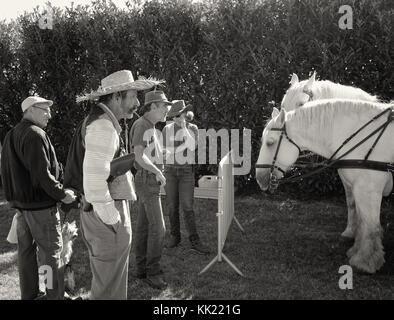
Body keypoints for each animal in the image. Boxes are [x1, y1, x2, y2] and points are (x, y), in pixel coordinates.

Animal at [255, 99, 394, 272]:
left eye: (270, 143)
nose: (259, 177)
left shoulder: (368, 189)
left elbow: (370, 227)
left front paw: (366, 262)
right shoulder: (357, 188)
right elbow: (362, 222)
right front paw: (357, 251)